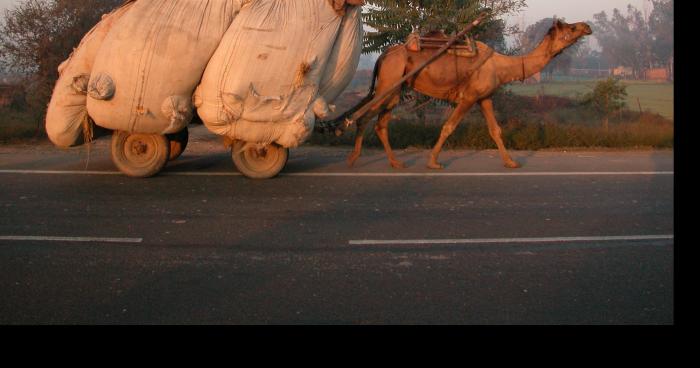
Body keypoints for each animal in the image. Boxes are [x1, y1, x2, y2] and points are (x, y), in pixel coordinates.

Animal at [336, 19, 592, 169]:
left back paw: (395, 162)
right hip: (389, 82)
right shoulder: (468, 97)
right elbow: (448, 126)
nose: (587, 26)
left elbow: (495, 130)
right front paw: (433, 162)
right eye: (571, 27)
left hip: (395, 88)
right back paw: (353, 158)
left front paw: (511, 162)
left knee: (380, 123)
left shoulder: (484, 97)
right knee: (363, 116)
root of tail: (383, 55)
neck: (501, 67)